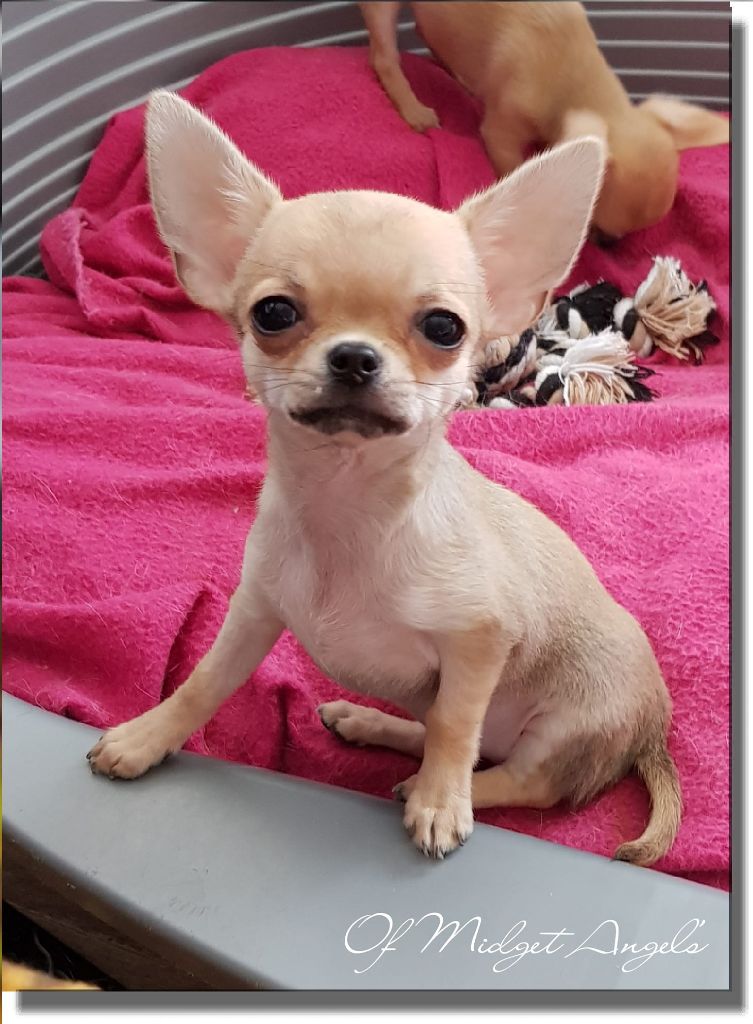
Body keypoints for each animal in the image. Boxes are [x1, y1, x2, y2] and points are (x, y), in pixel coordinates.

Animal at [87, 91, 681, 865]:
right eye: (272, 313)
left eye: (445, 328)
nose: (354, 357)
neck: (349, 508)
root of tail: (656, 728)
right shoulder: (254, 612)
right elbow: (203, 683)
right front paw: (146, 737)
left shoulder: (479, 641)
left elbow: (456, 725)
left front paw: (440, 804)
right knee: (444, 735)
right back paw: (372, 727)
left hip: (562, 731)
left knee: (518, 776)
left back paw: (432, 786)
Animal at [360, 1, 729, 240]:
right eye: (602, 231)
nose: (609, 245)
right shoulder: (501, 134)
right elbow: (514, 168)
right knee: (383, 57)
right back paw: (414, 108)